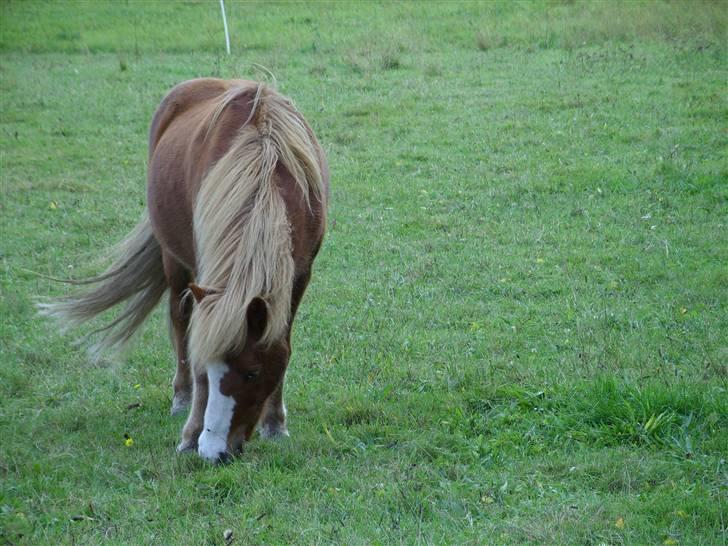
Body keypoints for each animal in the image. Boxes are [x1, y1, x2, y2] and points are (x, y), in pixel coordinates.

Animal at [41, 77, 332, 460]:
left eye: (253, 373)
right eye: (211, 369)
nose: (214, 452)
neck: (266, 166)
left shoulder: (299, 276)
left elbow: (283, 345)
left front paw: (275, 425)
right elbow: (195, 348)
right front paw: (191, 433)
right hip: (174, 259)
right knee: (180, 325)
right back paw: (181, 398)